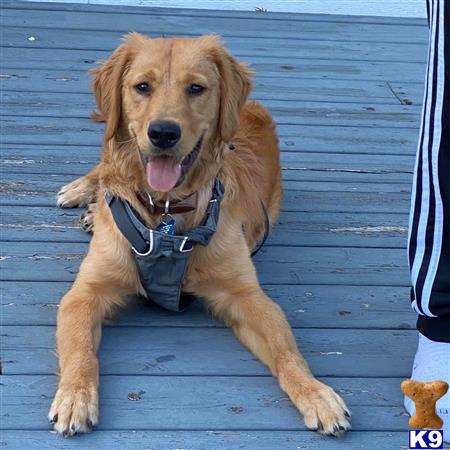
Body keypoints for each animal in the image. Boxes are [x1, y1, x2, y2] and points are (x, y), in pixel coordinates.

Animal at [50, 33, 352, 438]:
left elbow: (286, 350)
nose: (163, 133)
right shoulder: (85, 293)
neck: (164, 214)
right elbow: (80, 351)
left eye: (196, 88)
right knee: (105, 164)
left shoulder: (246, 295)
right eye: (142, 86)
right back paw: (82, 194)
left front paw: (316, 393)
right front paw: (74, 397)